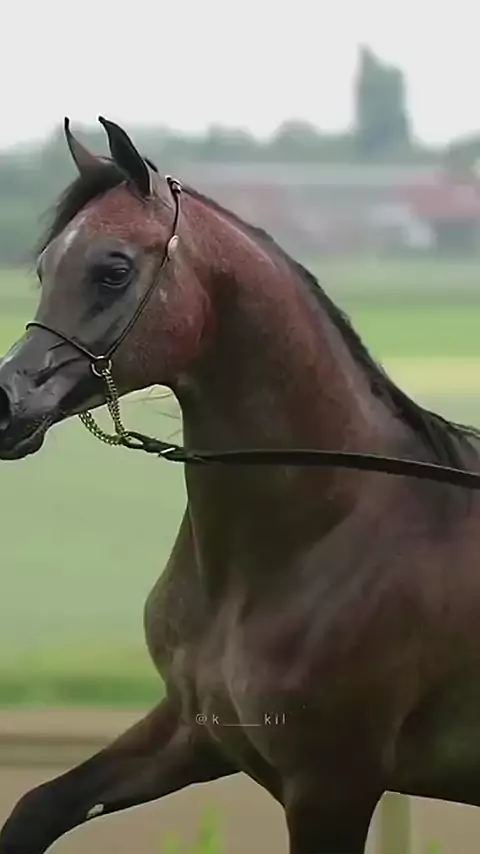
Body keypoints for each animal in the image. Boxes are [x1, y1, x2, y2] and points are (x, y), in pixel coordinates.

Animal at [1, 118, 480, 854]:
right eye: (45, 267)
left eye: (114, 269)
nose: (3, 405)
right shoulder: (191, 730)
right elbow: (36, 808)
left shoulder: (330, 785)